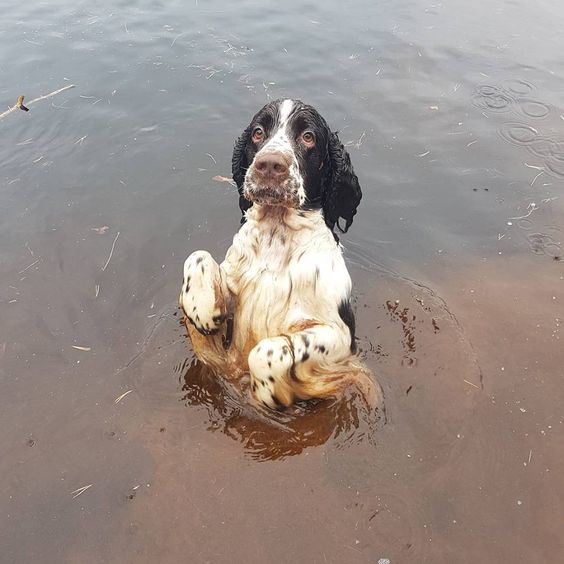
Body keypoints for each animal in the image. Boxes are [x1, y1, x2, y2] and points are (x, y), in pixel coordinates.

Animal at [180, 99, 378, 410]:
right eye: (258, 132)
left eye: (308, 137)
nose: (270, 165)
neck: (278, 235)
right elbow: (196, 255)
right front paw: (203, 309)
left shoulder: (341, 336)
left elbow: (268, 349)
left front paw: (269, 391)